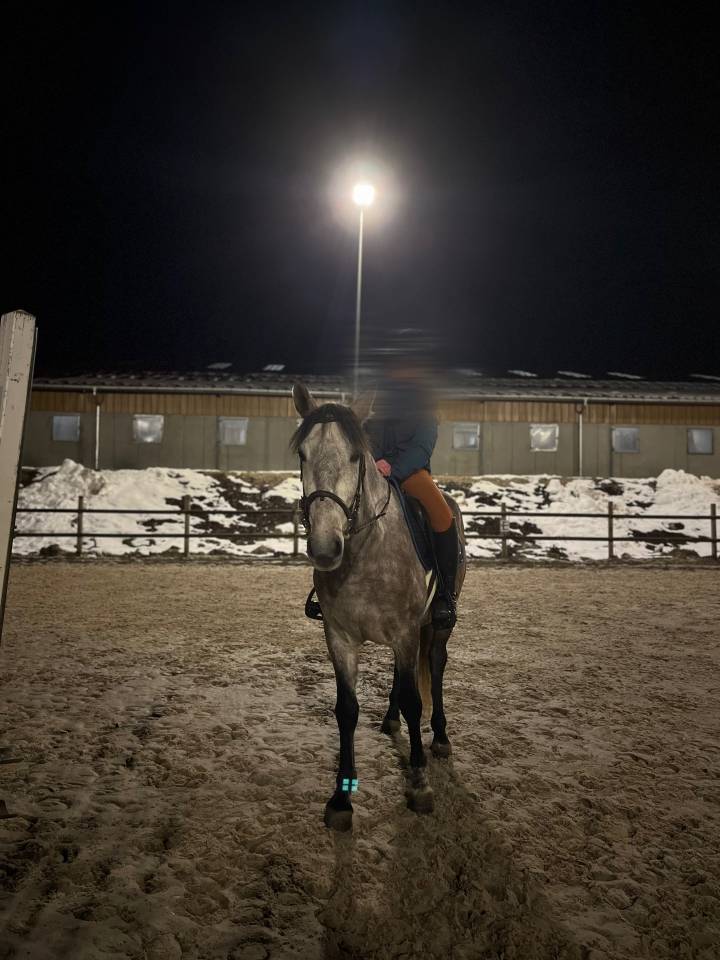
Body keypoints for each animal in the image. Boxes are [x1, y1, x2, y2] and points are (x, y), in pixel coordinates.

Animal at [291, 383, 466, 831]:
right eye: (303, 455)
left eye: (356, 456)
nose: (325, 547)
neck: (365, 549)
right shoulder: (339, 637)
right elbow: (347, 710)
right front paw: (341, 797)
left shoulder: (406, 632)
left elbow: (415, 701)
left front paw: (419, 782)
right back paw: (389, 719)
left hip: (436, 625)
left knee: (435, 667)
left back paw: (440, 737)